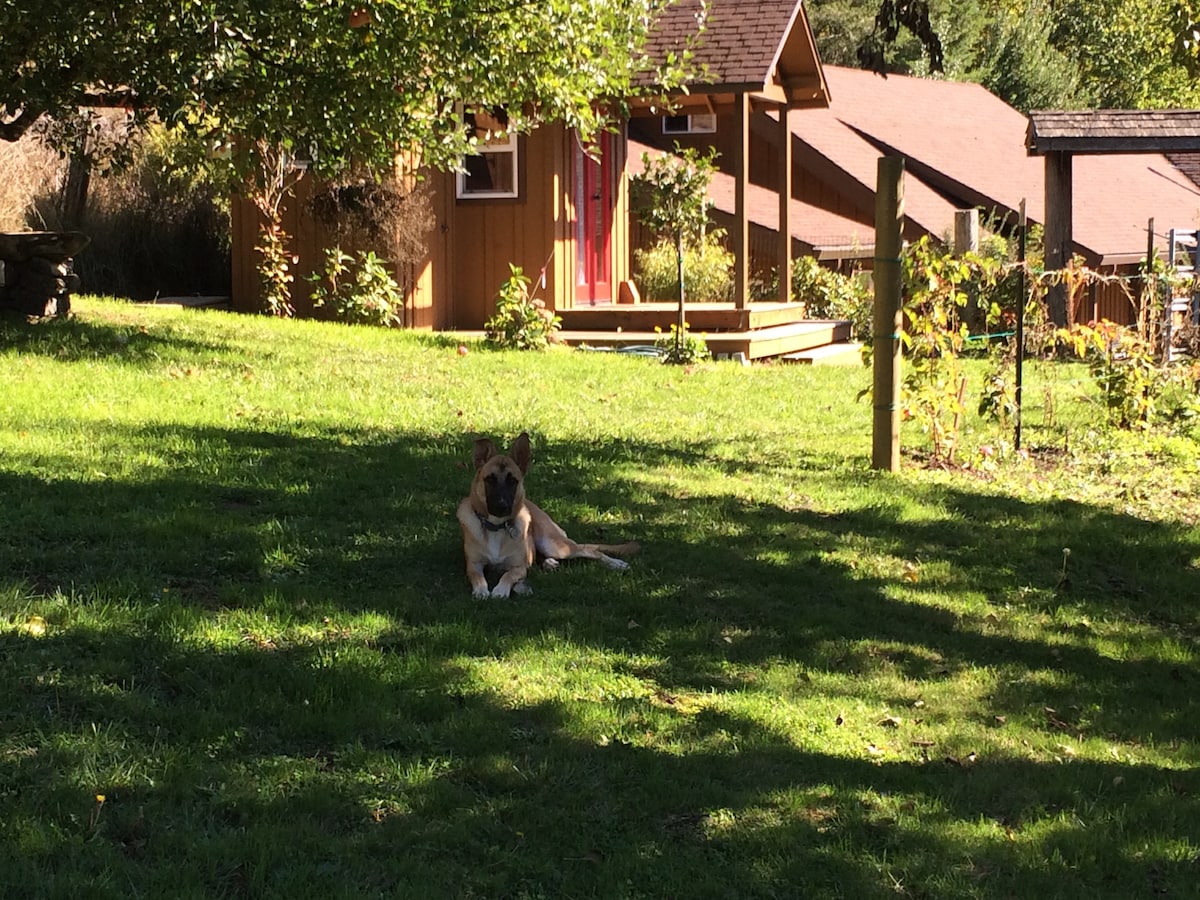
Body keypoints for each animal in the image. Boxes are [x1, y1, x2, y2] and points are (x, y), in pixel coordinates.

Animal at [456, 434, 643, 600]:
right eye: (490, 480)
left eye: (513, 481)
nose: (502, 506)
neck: (497, 527)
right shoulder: (473, 565)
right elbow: (478, 577)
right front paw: (481, 590)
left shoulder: (519, 567)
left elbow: (507, 576)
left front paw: (500, 590)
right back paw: (549, 563)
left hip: (554, 545)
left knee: (590, 550)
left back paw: (615, 563)